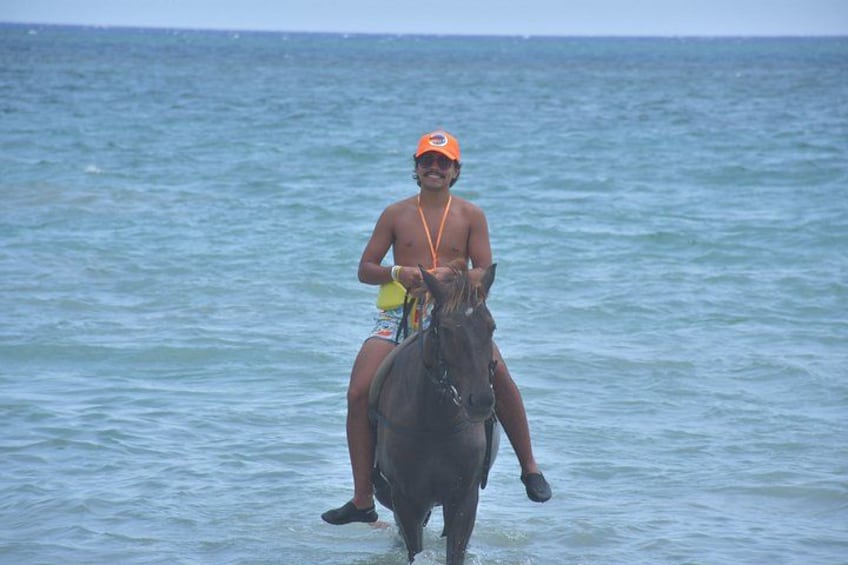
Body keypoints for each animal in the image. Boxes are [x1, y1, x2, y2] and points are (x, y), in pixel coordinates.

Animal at [369, 264, 500, 564]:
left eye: (491, 327)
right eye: (449, 330)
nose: (481, 401)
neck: (434, 421)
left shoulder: (464, 498)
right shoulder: (406, 500)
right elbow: (414, 548)